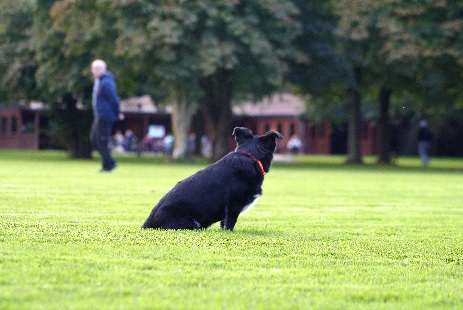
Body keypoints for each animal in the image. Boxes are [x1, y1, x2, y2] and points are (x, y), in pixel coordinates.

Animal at [143, 127, 284, 231]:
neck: (251, 156)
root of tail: (147, 223)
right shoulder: (233, 204)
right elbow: (230, 223)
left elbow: (223, 223)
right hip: (193, 223)